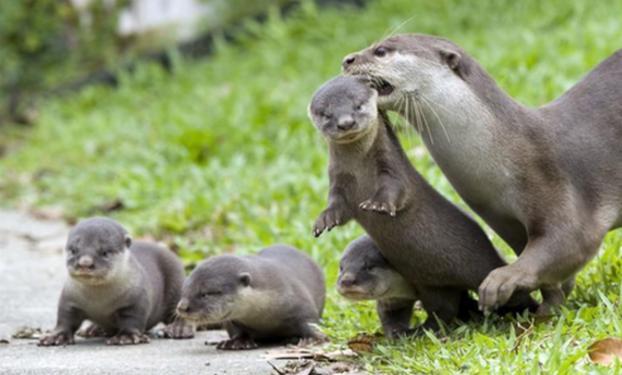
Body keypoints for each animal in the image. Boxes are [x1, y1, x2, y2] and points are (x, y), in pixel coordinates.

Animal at [38, 219, 194, 348]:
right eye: (73, 250)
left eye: (105, 252)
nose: (85, 263)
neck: (99, 303)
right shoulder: (69, 299)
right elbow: (65, 318)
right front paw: (56, 336)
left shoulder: (136, 300)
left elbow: (133, 319)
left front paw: (126, 337)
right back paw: (94, 329)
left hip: (177, 282)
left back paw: (179, 329)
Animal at [176, 245, 326, 352]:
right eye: (184, 290)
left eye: (206, 294)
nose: (182, 307)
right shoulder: (234, 320)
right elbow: (238, 330)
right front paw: (237, 341)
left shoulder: (300, 301)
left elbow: (309, 321)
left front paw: (311, 339)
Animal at [310, 76, 540, 332]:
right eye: (326, 114)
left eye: (358, 106)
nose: (346, 123)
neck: (361, 172)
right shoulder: (339, 182)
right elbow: (337, 206)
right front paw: (325, 219)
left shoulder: (391, 169)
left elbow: (394, 190)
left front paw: (379, 204)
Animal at [342, 34, 622, 312]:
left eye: (381, 51)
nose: (347, 59)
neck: (505, 156)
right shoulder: (503, 221)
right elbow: (550, 273)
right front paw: (547, 308)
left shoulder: (552, 182)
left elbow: (570, 241)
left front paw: (502, 280)